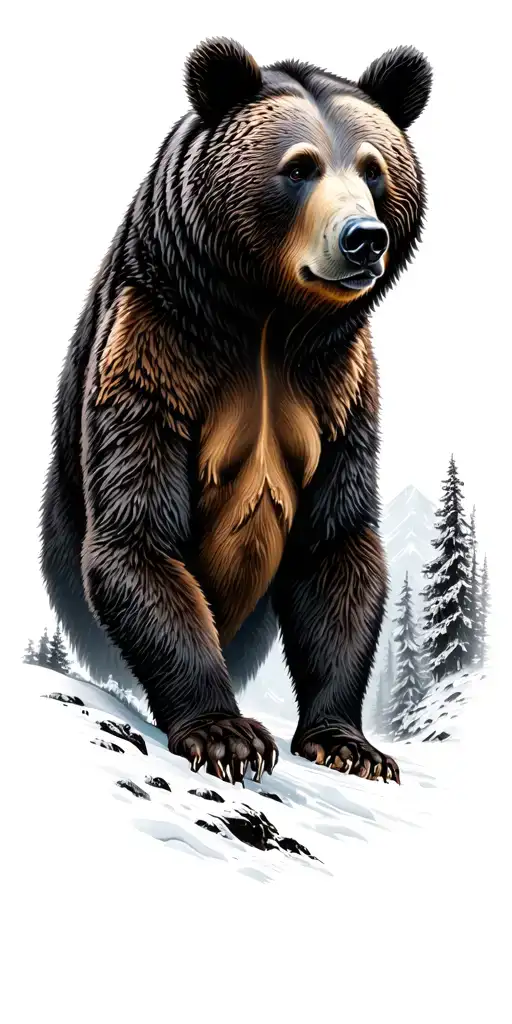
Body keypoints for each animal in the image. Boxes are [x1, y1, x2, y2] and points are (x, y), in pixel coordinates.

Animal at [41, 37, 432, 786]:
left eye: (374, 170)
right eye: (301, 167)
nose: (363, 237)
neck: (268, 322)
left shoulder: (338, 387)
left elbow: (336, 546)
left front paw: (350, 745)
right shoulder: (154, 347)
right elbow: (140, 535)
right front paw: (227, 735)